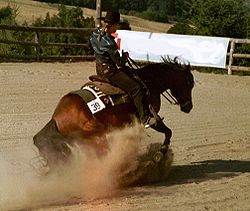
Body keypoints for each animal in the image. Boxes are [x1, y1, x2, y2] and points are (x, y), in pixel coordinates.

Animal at [32, 57, 193, 170]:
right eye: (189, 83)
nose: (188, 107)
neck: (148, 81)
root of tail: (56, 119)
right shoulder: (150, 117)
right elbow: (168, 132)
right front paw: (159, 155)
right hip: (95, 134)